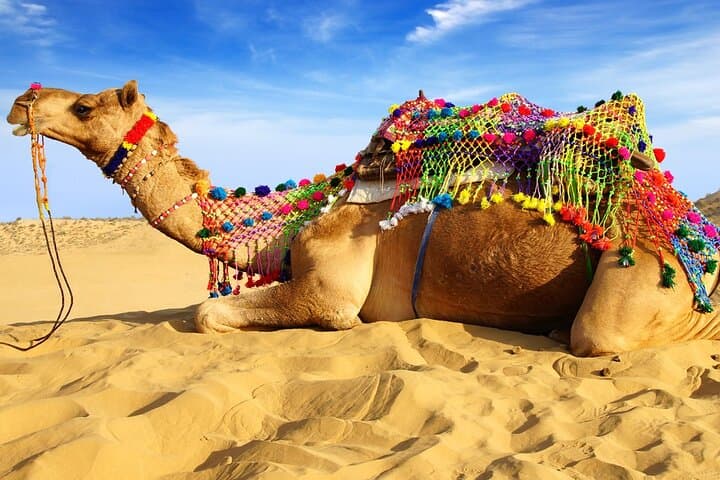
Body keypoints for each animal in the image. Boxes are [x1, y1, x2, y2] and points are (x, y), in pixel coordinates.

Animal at [7, 80, 720, 356]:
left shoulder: (331, 290)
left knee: (605, 334)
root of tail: (689, 224)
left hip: (649, 269)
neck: (289, 222)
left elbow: (206, 313)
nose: (21, 102)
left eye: (87, 107)